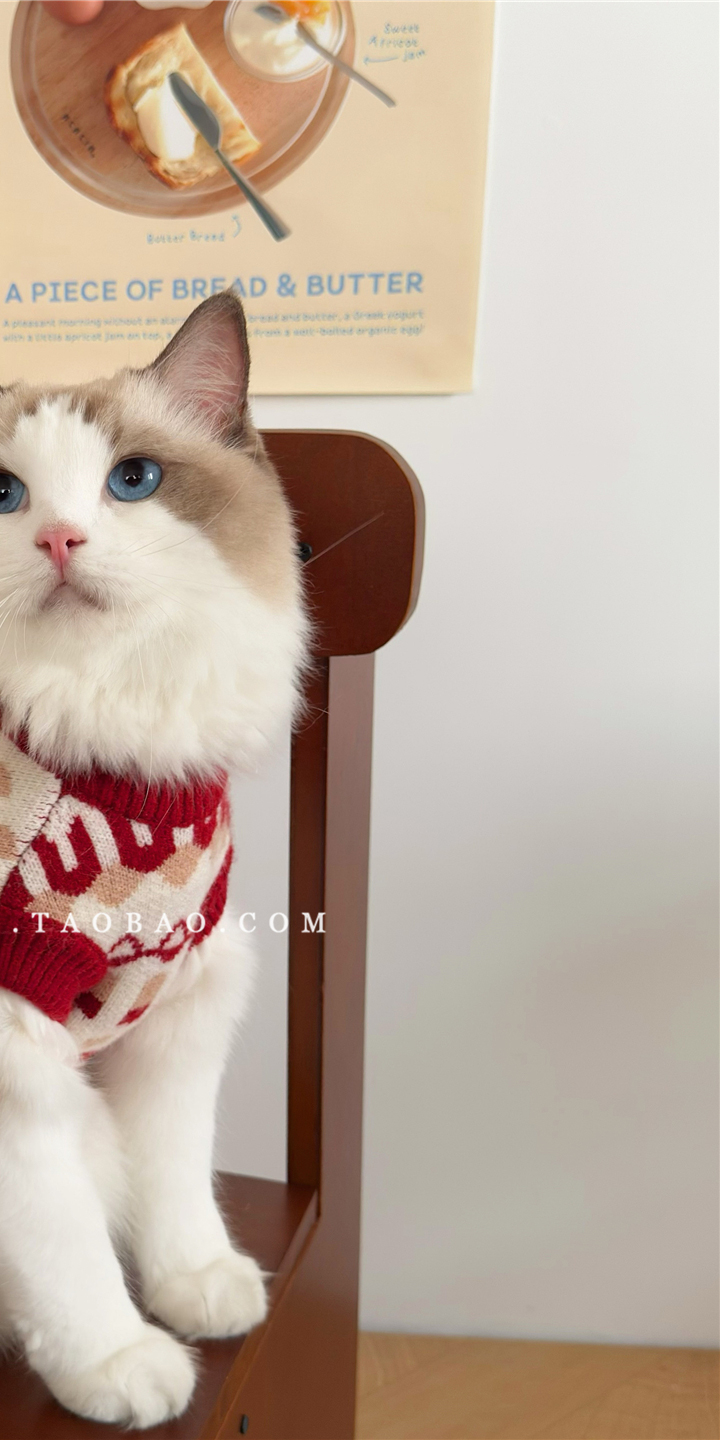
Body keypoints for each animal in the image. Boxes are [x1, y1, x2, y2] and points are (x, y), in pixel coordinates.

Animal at [0, 291, 308, 1427]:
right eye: (4, 495)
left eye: (131, 480)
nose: (59, 537)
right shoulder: (17, 1041)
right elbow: (61, 1238)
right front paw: (117, 1362)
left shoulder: (182, 996)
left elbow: (175, 1173)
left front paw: (198, 1287)